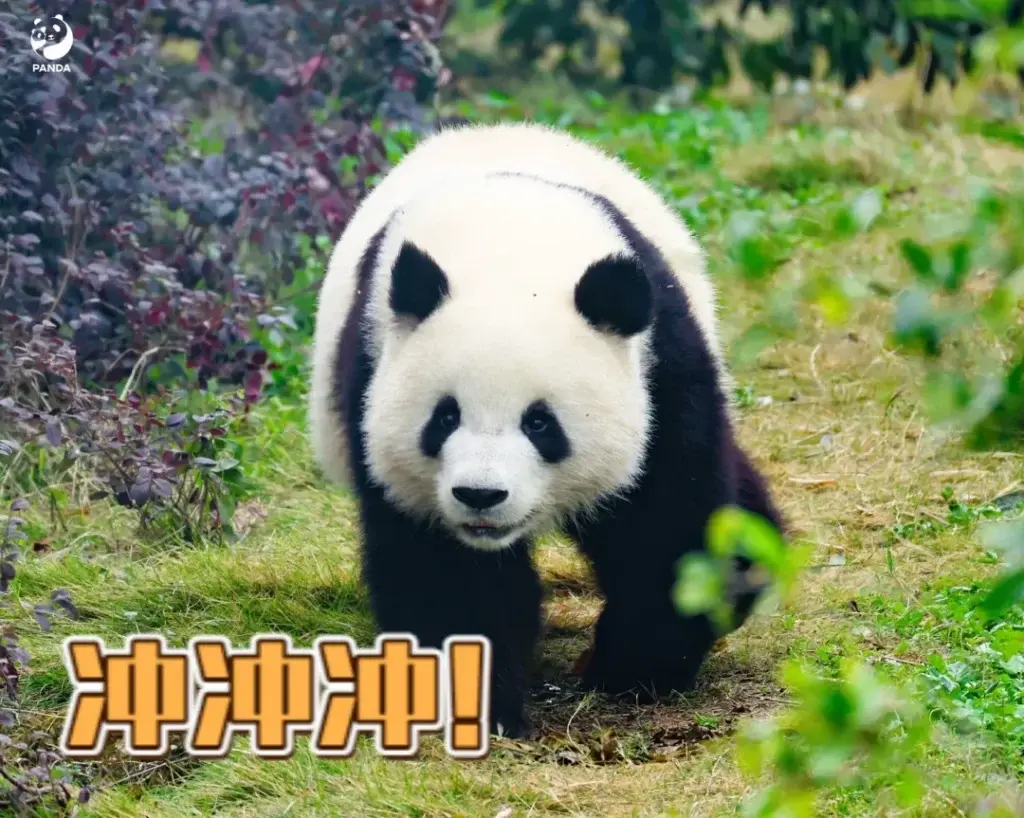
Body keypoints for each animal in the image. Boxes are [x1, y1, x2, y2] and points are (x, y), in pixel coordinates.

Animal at [308, 121, 784, 738]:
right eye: (445, 416)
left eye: (540, 423)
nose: (480, 495)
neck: (509, 249)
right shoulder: (370, 378)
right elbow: (446, 569)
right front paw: (482, 705)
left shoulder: (661, 362)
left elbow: (667, 518)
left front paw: (635, 669)